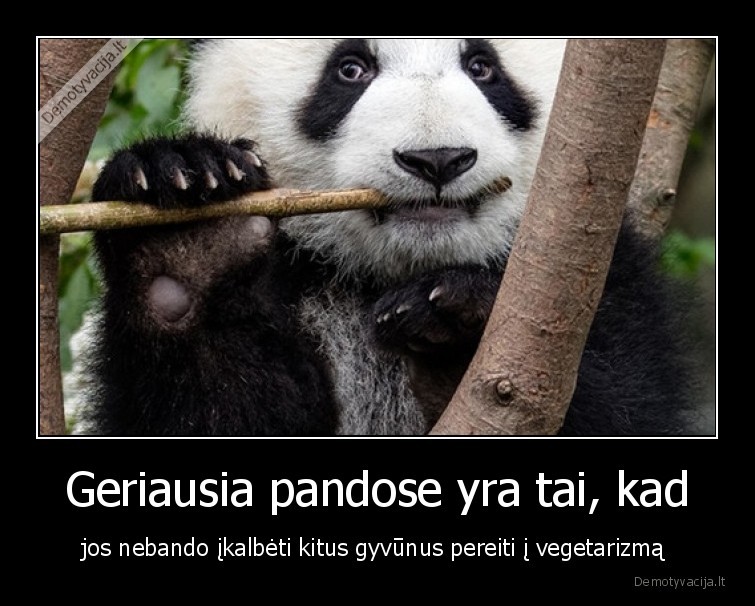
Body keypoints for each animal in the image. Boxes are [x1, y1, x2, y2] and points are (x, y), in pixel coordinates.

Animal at [78, 38, 701, 436]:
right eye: (351, 69)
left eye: (482, 66)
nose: (438, 159)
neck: (388, 271)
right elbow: (217, 412)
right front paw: (194, 239)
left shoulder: (602, 281)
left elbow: (627, 406)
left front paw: (452, 321)